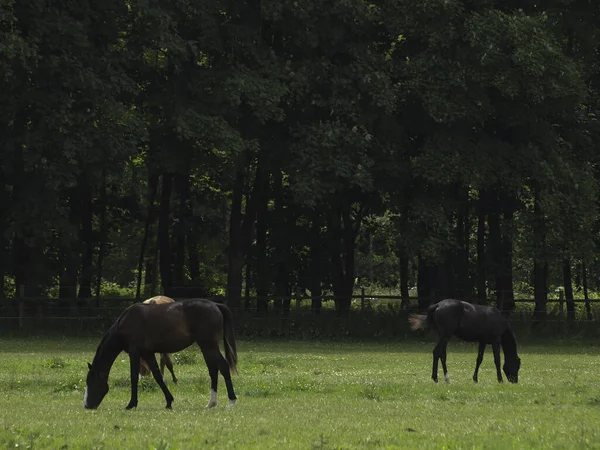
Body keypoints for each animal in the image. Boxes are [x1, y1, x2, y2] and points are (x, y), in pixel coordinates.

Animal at [85, 298, 239, 412]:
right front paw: (169, 402)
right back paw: (211, 403)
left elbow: (134, 377)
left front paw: (131, 404)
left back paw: (231, 401)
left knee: (223, 367)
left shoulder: (135, 353)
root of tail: (215, 305)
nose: (86, 406)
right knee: (213, 370)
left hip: (209, 345)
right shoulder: (147, 353)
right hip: (206, 347)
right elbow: (158, 376)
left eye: (90, 382)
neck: (125, 322)